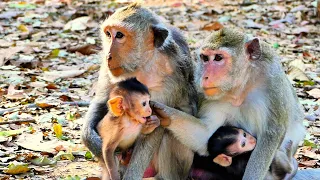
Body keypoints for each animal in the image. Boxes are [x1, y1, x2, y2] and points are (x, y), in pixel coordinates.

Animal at [81, 2, 196, 180]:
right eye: (108, 34)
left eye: (119, 35)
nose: (108, 56)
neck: (143, 64)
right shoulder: (108, 70)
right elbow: (101, 101)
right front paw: (94, 142)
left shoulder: (170, 77)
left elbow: (156, 123)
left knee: (170, 125)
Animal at [151, 27, 306, 179]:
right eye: (205, 58)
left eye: (218, 58)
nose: (205, 77)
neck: (242, 86)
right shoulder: (210, 96)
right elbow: (206, 134)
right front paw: (162, 111)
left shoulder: (273, 83)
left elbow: (271, 134)